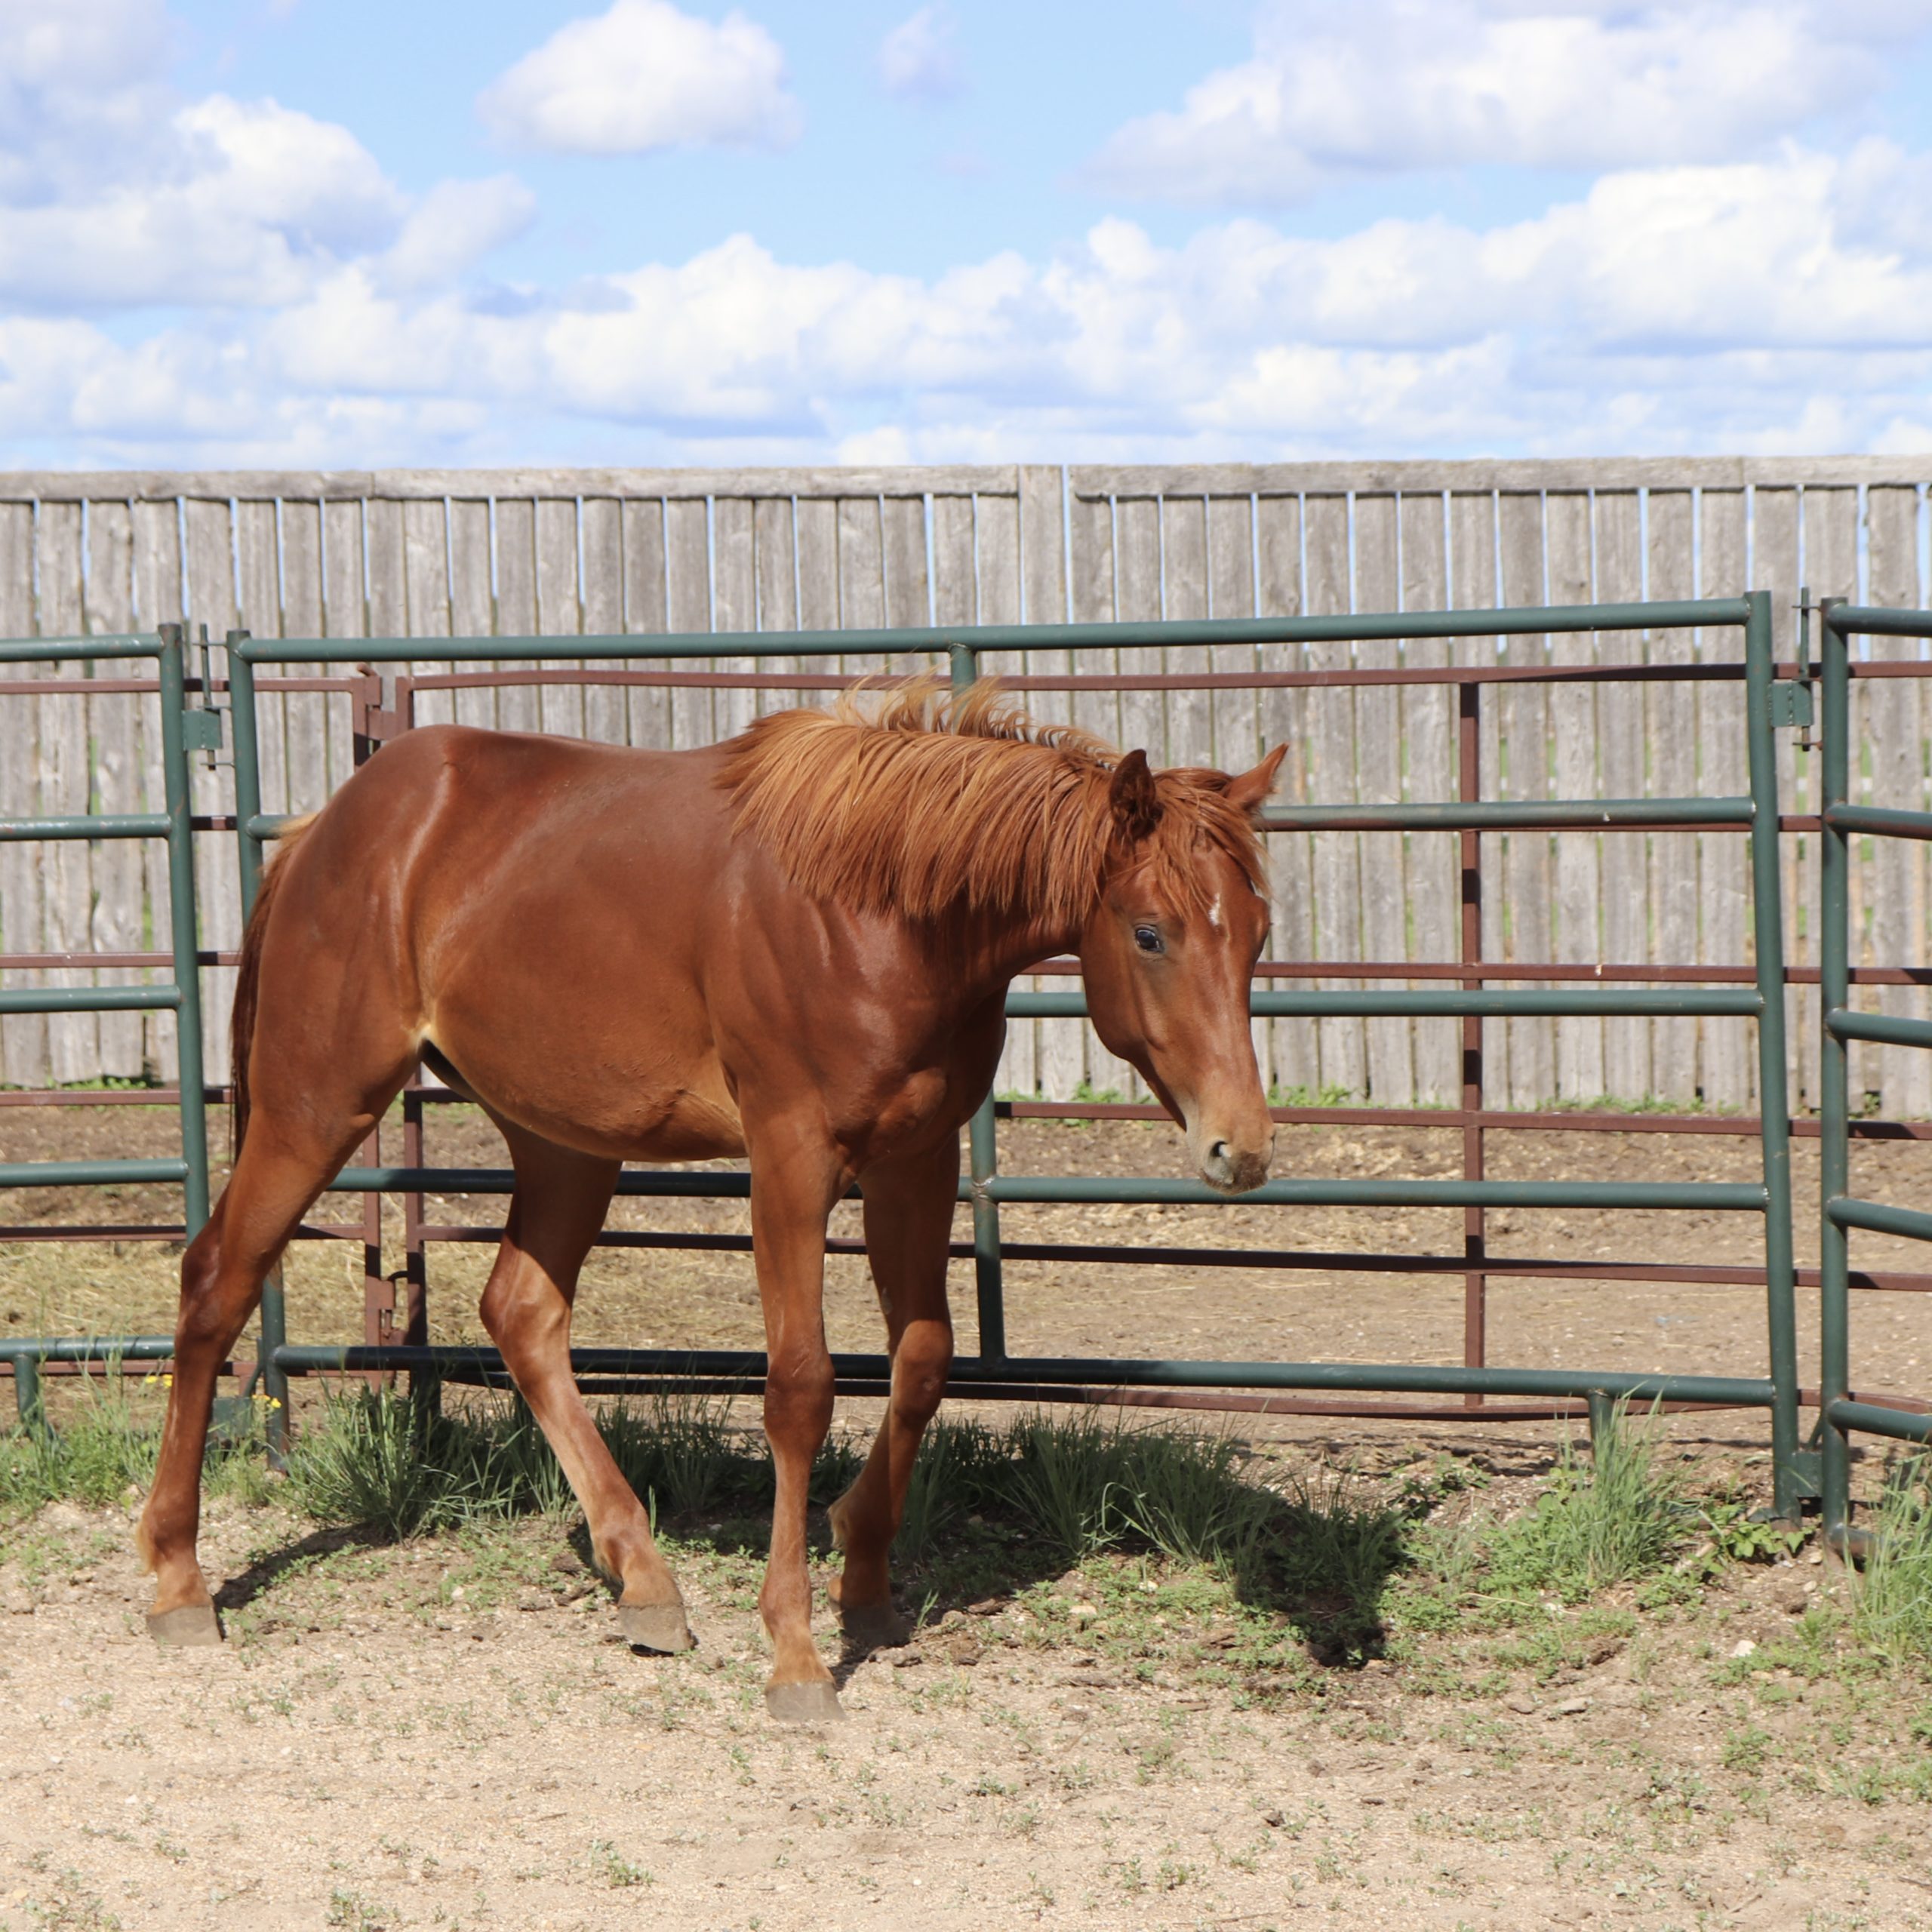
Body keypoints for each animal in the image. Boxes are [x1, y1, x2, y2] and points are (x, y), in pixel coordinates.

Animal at [140, 684, 1282, 1723]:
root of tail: (327, 831)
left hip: (563, 1145)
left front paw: (863, 1570)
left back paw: (644, 1580)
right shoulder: (791, 1159)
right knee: (217, 1283)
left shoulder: (914, 1160)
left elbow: (921, 1360)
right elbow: (801, 1387)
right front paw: (796, 1654)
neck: (874, 914)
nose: (1240, 1148)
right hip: (317, 1103)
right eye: (1149, 933)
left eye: (1257, 932)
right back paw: (179, 1581)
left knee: (522, 1314)